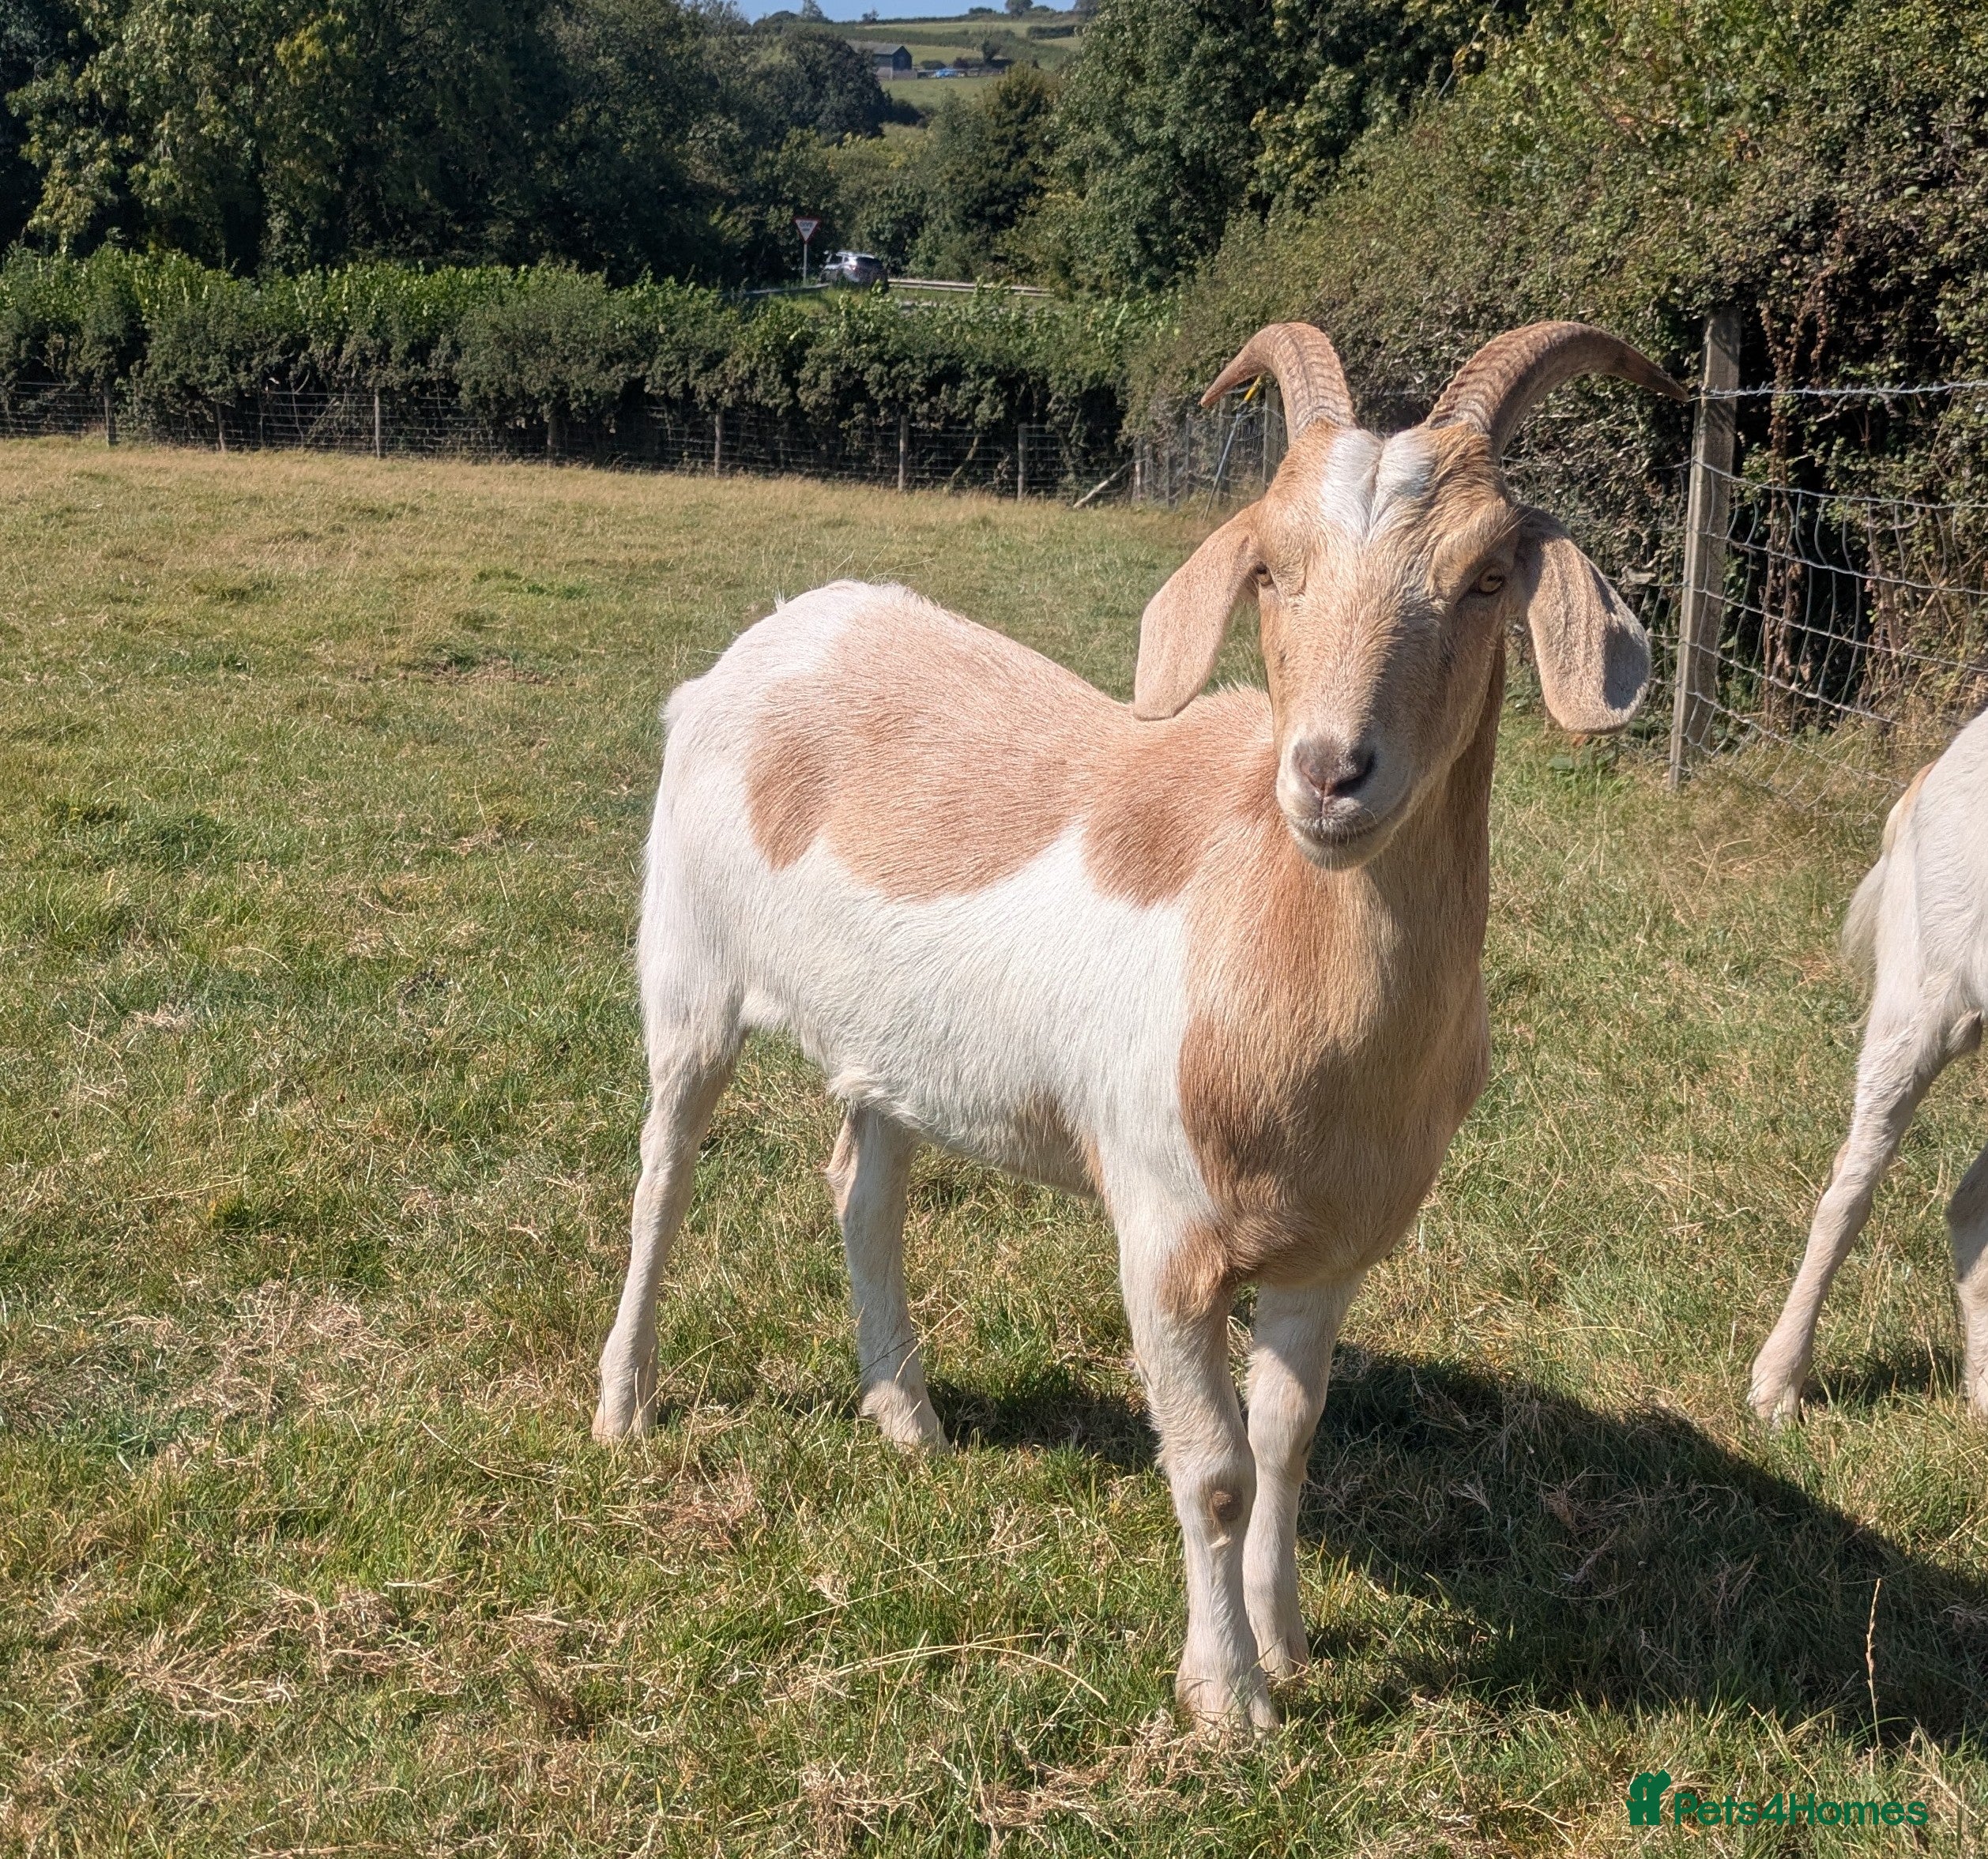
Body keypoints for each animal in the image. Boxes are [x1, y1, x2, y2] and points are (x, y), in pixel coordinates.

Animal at [593, 321, 1684, 1730]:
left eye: (1488, 574)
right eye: (1270, 569)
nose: (1328, 773)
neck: (1268, 944)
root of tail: (773, 637)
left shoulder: (1331, 1251)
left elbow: (1287, 1440)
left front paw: (1287, 1637)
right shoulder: (1162, 1232)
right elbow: (1214, 1465)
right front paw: (1227, 1696)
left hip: (893, 1050)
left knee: (862, 1188)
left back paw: (906, 1415)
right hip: (689, 972)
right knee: (663, 1175)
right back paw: (627, 1403)